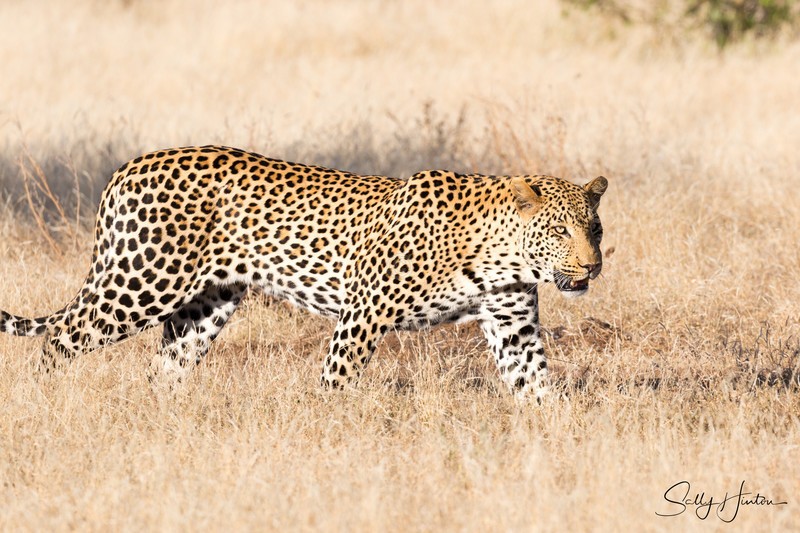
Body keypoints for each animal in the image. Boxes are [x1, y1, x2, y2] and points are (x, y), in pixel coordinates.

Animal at [0, 145, 607, 399]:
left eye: (594, 229)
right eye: (560, 230)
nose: (592, 265)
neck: (501, 254)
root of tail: (128, 165)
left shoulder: (513, 325)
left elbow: (536, 385)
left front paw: (555, 437)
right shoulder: (363, 313)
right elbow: (336, 380)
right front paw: (329, 430)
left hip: (205, 306)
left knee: (165, 367)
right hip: (143, 281)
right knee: (60, 336)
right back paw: (41, 402)